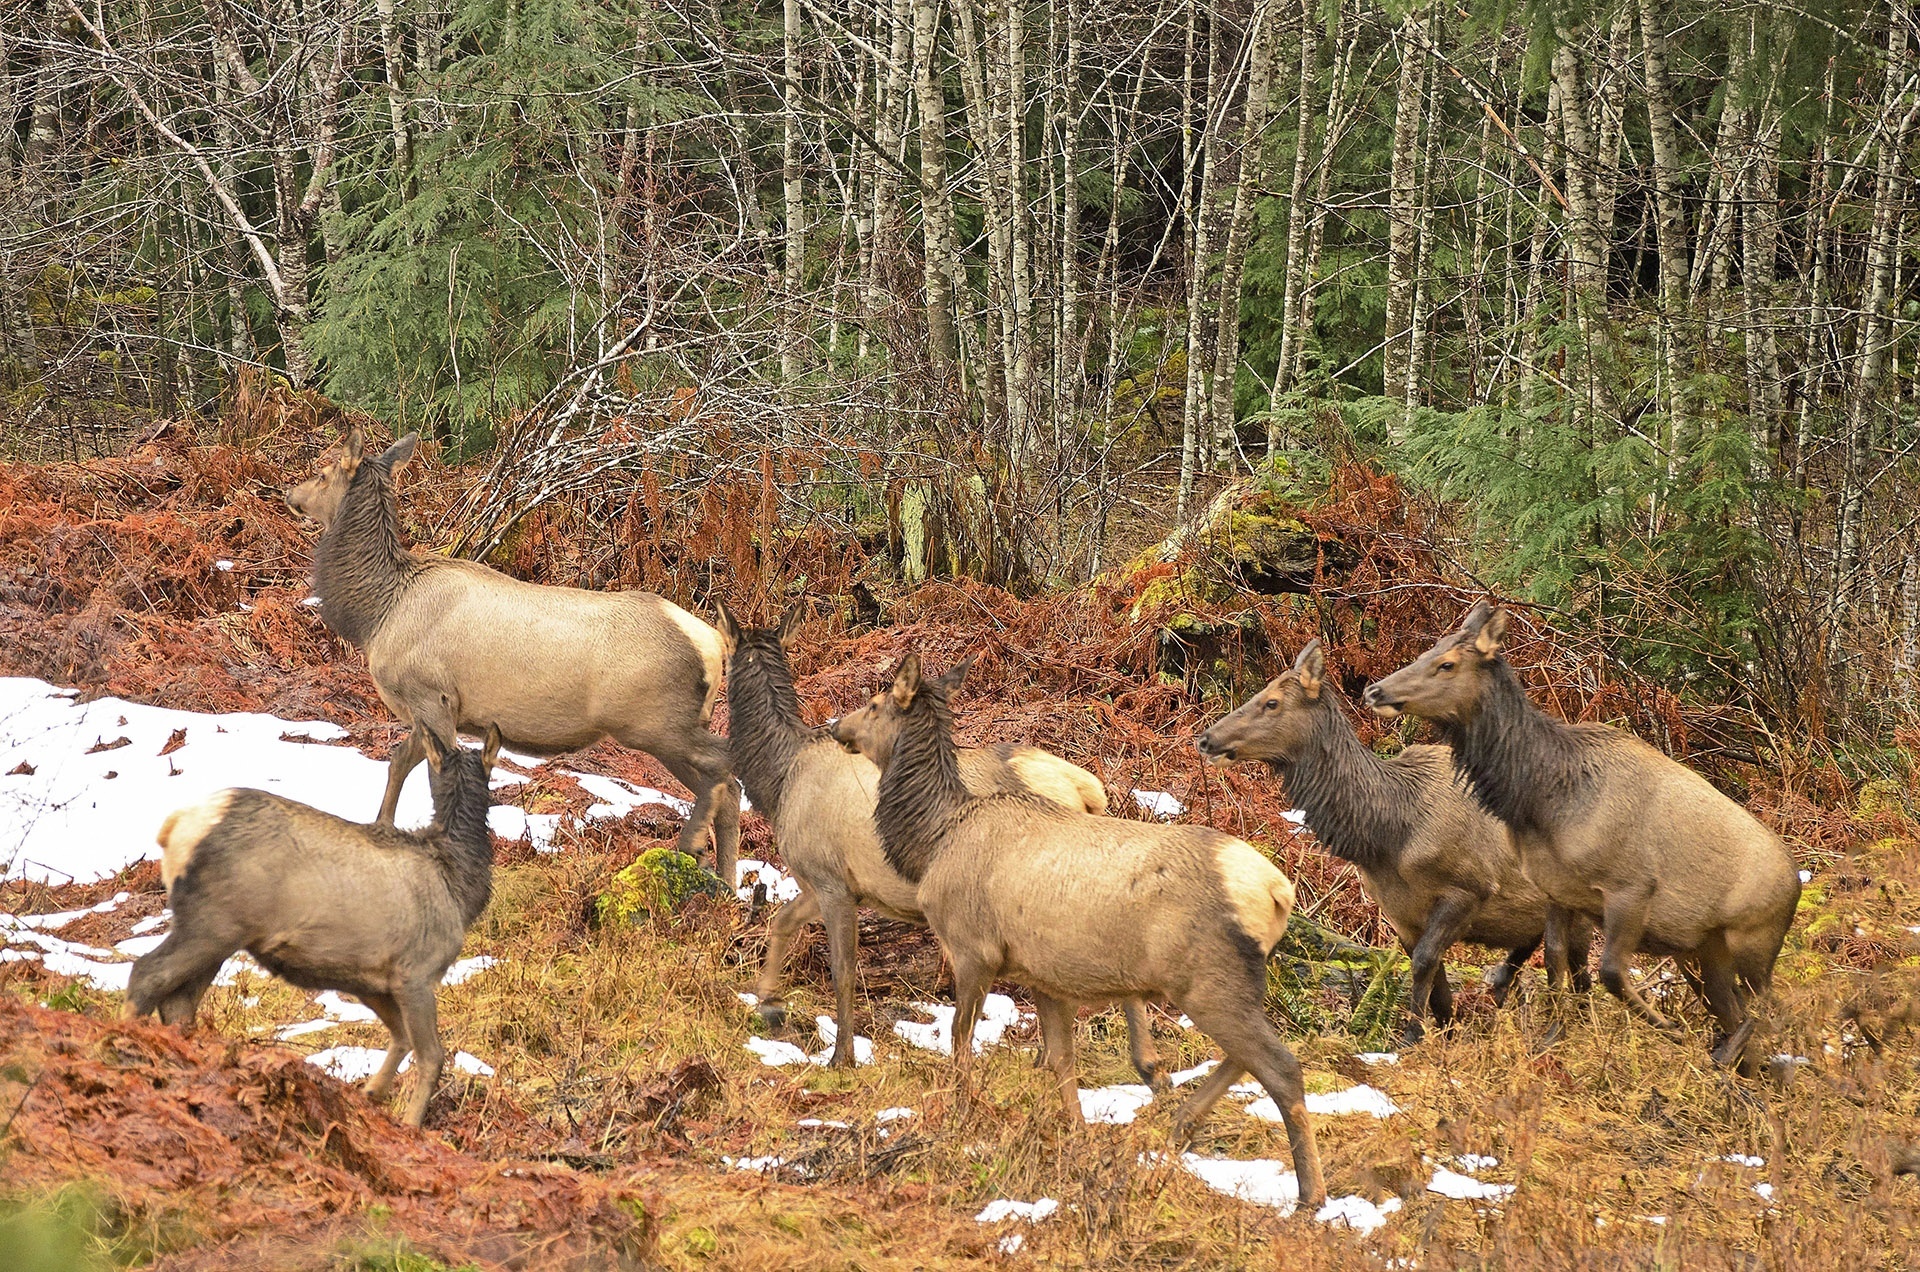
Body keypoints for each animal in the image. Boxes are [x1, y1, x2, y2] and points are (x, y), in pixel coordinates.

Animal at [125, 726, 503, 1129]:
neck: (459, 887)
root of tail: (175, 827)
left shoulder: (370, 978)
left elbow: (399, 1036)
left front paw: (371, 1093)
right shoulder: (416, 971)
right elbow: (432, 1055)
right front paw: (411, 1124)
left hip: (220, 936)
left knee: (178, 1002)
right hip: (212, 923)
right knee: (147, 974)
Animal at [289, 434, 741, 883]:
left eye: (323, 472)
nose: (291, 494)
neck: (377, 614)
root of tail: (713, 645)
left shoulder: (431, 695)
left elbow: (433, 774)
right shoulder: (432, 709)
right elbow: (398, 763)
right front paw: (380, 825)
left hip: (656, 722)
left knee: (723, 764)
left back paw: (693, 845)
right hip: (670, 728)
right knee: (727, 786)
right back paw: (726, 879)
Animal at [833, 657, 1328, 1214]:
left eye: (875, 703)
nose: (836, 727)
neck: (932, 841)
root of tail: (1277, 892)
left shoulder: (973, 947)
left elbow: (960, 1039)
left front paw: (962, 1114)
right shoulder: (1042, 975)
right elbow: (1061, 1061)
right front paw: (1075, 1132)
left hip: (1207, 978)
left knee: (1281, 1065)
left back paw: (1309, 1194)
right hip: (1222, 983)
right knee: (1248, 1057)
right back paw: (1180, 1122)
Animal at [1198, 641, 1589, 1045]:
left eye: (1271, 702)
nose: (1207, 738)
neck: (1389, 836)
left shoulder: (1471, 887)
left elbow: (1424, 962)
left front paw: (1412, 1036)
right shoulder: (1400, 912)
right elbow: (1438, 983)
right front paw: (1445, 1035)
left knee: (1575, 972)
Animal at [1367, 603, 1797, 1068]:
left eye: (1447, 663)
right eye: (1428, 650)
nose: (1375, 690)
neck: (1542, 801)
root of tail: (1796, 881)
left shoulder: (1631, 886)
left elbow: (1609, 970)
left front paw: (1670, 1028)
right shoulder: (1557, 890)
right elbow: (1557, 962)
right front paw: (1551, 1038)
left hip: (1755, 939)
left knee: (1769, 1008)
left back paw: (1726, 1058)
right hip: (1709, 947)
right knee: (1739, 1009)